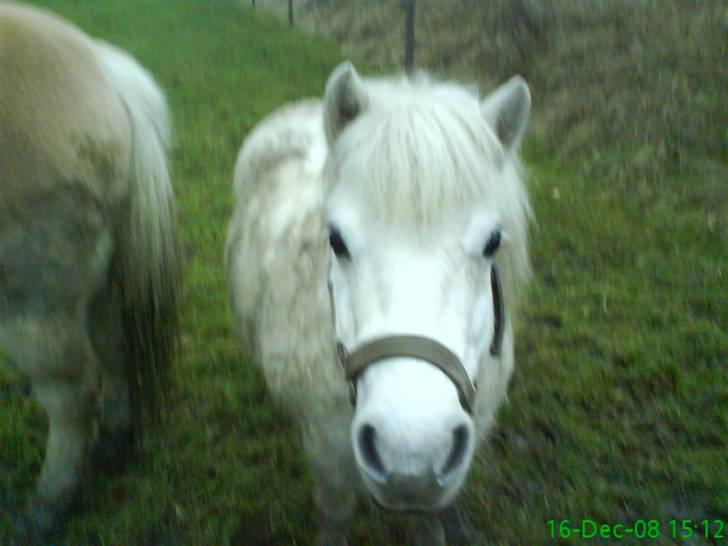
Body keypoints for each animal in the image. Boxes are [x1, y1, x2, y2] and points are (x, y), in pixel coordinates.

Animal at [1, 3, 181, 540]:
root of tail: (105, 73)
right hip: (97, 285)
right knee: (114, 348)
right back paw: (115, 444)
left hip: (33, 302)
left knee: (71, 396)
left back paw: (47, 507)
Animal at [225, 61, 532, 540]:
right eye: (336, 239)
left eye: (493, 242)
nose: (412, 456)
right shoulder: (326, 451)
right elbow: (335, 515)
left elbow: (428, 524)